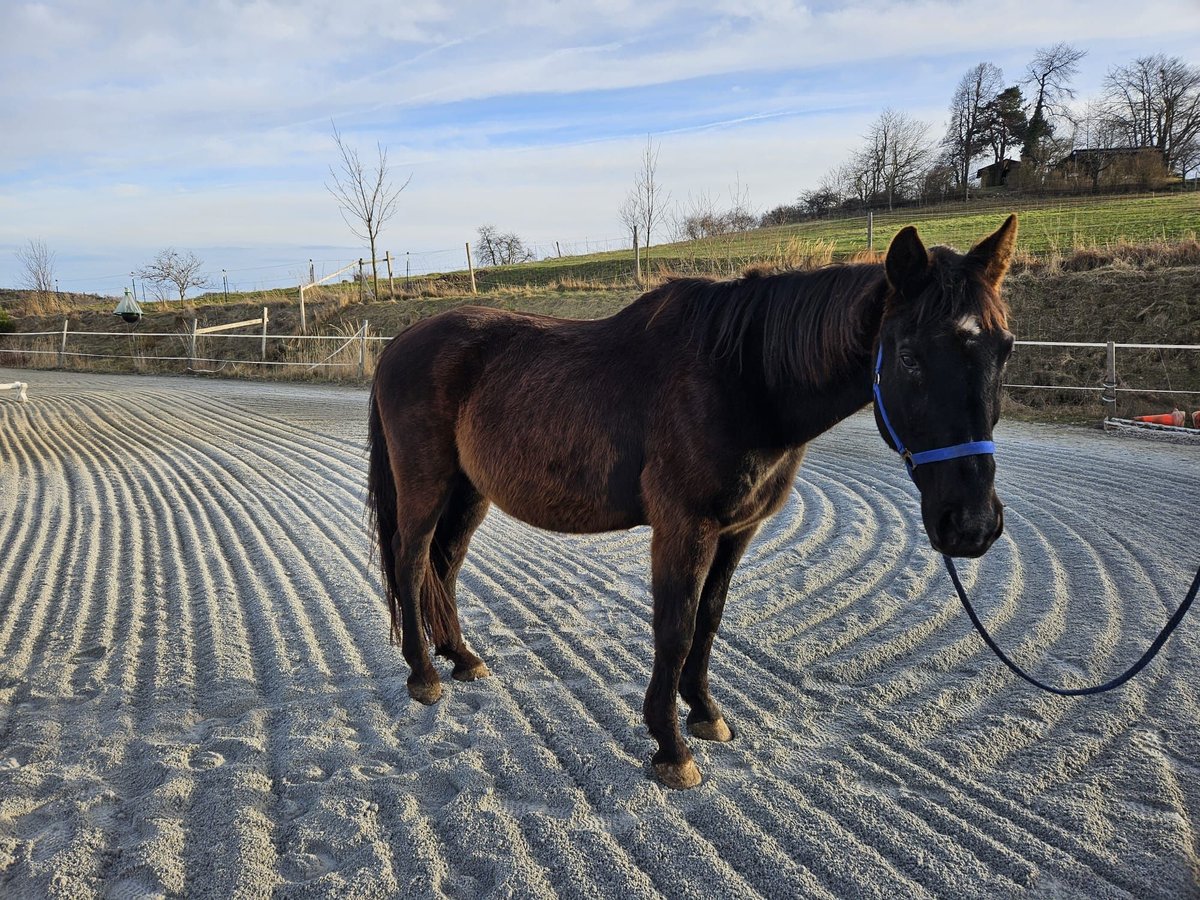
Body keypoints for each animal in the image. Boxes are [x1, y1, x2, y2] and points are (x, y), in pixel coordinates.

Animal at [364, 214, 1012, 787]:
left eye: (1003, 348)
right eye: (908, 356)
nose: (972, 525)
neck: (742, 379)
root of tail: (401, 343)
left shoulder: (737, 529)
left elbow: (709, 619)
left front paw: (704, 714)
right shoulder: (684, 526)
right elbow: (675, 628)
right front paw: (670, 747)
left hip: (470, 492)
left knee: (443, 566)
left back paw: (461, 657)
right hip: (426, 486)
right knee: (412, 561)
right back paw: (424, 674)